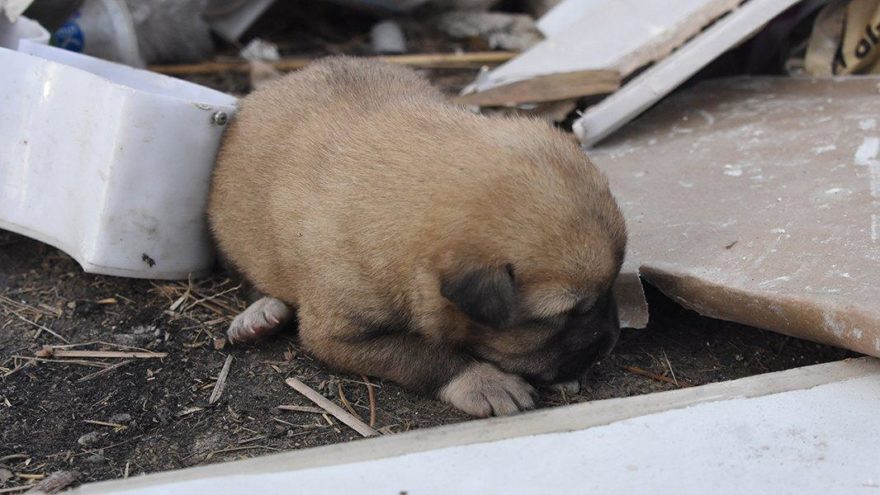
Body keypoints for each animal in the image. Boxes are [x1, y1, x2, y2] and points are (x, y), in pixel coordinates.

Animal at [208, 56, 624, 416]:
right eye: (566, 313)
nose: (609, 345)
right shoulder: (338, 336)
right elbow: (423, 355)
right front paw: (485, 381)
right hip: (230, 234)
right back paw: (260, 314)